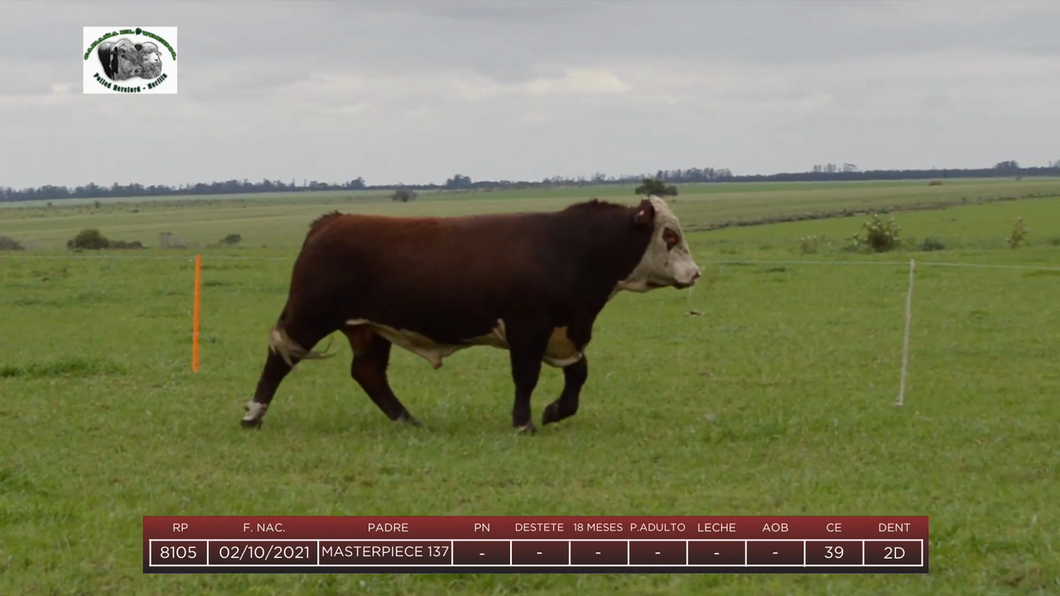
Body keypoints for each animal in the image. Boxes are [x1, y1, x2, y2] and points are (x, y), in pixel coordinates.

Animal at [242, 195, 699, 430]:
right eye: (669, 235)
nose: (695, 273)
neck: (569, 248)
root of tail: (332, 220)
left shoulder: (567, 331)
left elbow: (578, 377)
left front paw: (554, 411)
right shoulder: (527, 329)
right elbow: (526, 378)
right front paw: (524, 422)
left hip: (369, 327)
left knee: (368, 373)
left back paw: (407, 420)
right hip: (309, 315)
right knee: (279, 359)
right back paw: (253, 415)